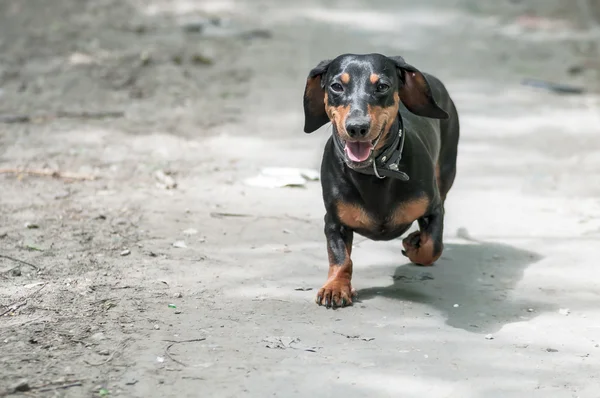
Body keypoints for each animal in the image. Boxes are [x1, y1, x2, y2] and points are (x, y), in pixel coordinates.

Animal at [302, 52, 462, 308]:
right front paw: (335, 287)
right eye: (336, 86)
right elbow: (340, 257)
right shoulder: (334, 222)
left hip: (446, 170)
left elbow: (432, 246)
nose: (357, 128)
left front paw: (415, 246)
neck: (373, 171)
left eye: (382, 86)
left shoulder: (434, 209)